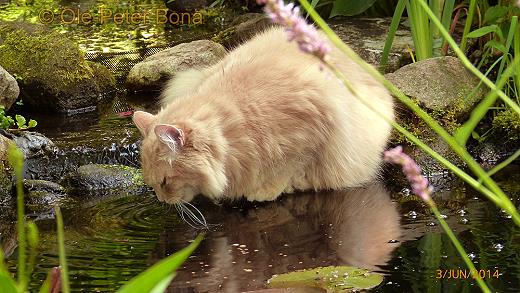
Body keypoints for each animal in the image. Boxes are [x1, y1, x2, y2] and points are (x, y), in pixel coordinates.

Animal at [132, 26, 392, 203]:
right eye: (153, 184)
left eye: (165, 181)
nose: (162, 200)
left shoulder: (311, 132)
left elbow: (288, 166)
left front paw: (266, 190)